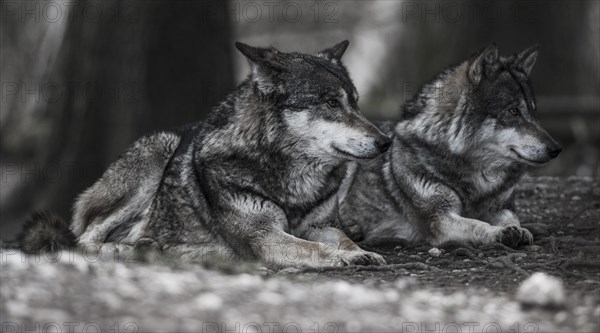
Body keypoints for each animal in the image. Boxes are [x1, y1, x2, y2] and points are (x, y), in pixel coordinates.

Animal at [18, 40, 392, 266]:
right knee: (83, 239)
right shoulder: (263, 236)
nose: (386, 141)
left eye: (355, 103)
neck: (293, 179)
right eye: (330, 103)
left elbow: (342, 238)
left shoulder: (320, 225)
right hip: (159, 151)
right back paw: (122, 248)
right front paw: (347, 258)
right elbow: (314, 249)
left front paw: (360, 251)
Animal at [340, 43, 560, 246]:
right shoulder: (440, 219)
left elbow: (512, 218)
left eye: (533, 112)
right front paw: (498, 233)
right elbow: (477, 224)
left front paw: (517, 230)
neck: (478, 178)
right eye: (513, 111)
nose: (556, 149)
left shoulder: (502, 208)